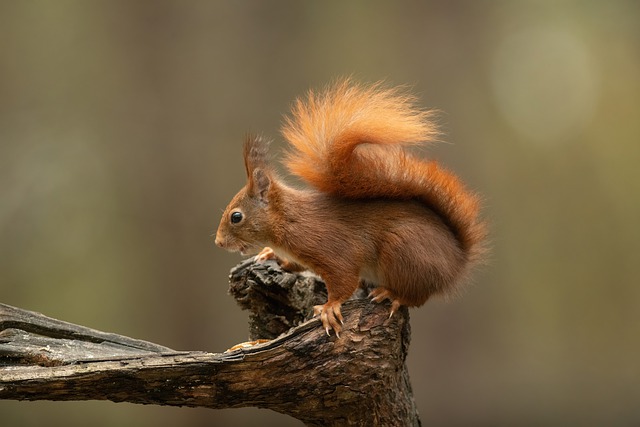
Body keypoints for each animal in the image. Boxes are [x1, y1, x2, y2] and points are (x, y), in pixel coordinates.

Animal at [215, 79, 486, 337]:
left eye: (236, 217)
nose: (218, 242)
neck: (287, 221)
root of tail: (456, 262)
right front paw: (270, 254)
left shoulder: (329, 247)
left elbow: (344, 279)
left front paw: (329, 307)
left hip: (402, 250)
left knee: (417, 296)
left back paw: (393, 294)